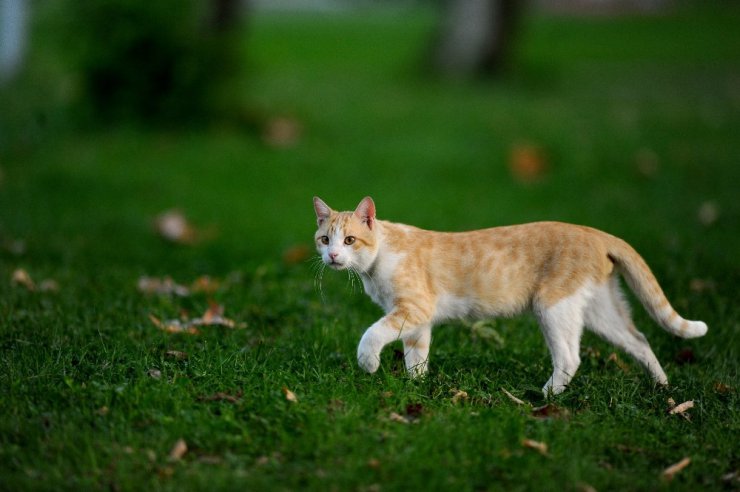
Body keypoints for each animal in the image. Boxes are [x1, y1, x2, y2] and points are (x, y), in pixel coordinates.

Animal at [310, 196, 704, 396]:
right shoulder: (417, 321)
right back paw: (662, 387)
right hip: (600, 311)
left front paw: (369, 364)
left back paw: (544, 396)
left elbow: (371, 334)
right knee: (639, 340)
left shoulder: (412, 308)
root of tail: (596, 233)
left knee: (570, 357)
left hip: (554, 307)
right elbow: (416, 357)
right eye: (324, 239)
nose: (333, 256)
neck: (379, 259)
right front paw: (416, 388)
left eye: (350, 240)